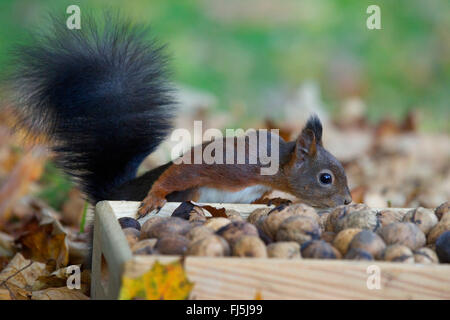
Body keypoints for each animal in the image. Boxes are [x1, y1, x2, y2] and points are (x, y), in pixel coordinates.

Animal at [7, 13, 352, 219]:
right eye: (325, 178)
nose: (348, 201)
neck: (275, 167)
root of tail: (112, 193)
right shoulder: (232, 166)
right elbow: (182, 171)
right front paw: (154, 197)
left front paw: (274, 202)